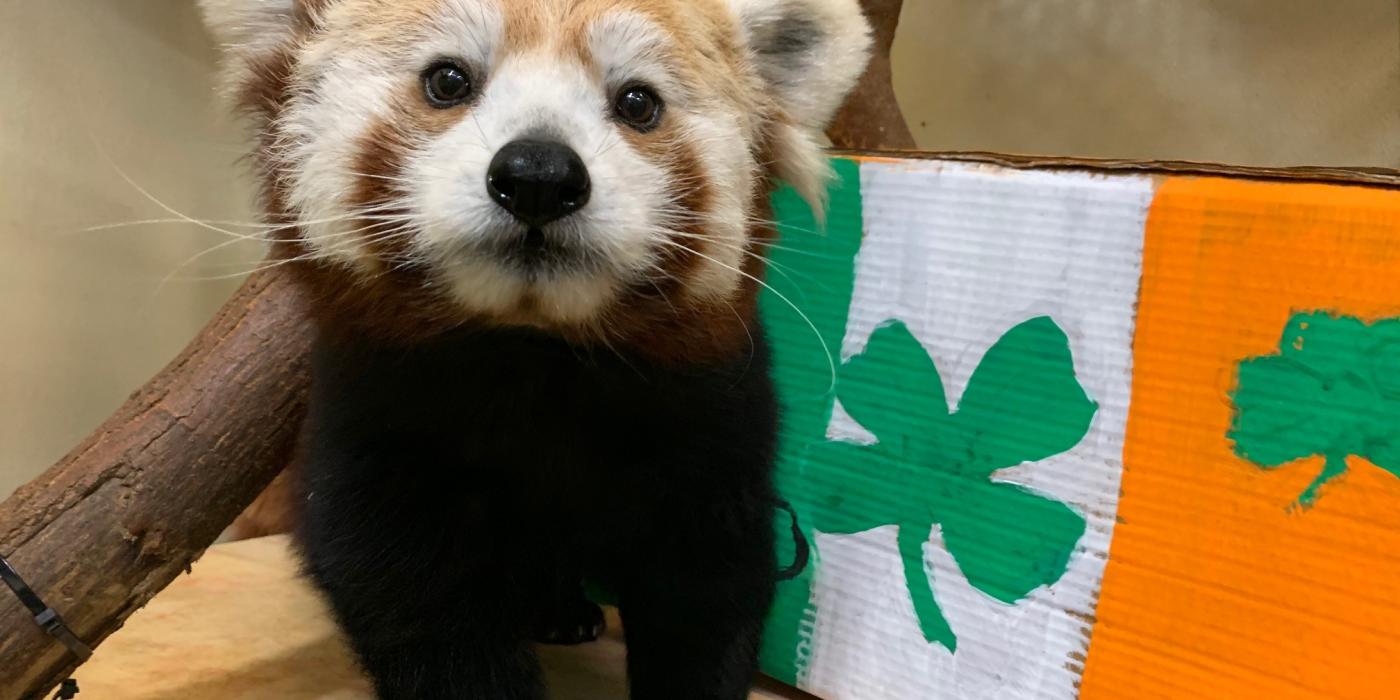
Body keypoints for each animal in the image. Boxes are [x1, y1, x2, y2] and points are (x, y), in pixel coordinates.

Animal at [203, 1, 868, 694]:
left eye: (638, 102)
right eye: (447, 80)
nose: (539, 175)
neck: (538, 348)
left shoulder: (713, 417)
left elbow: (709, 587)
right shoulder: (373, 408)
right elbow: (407, 590)